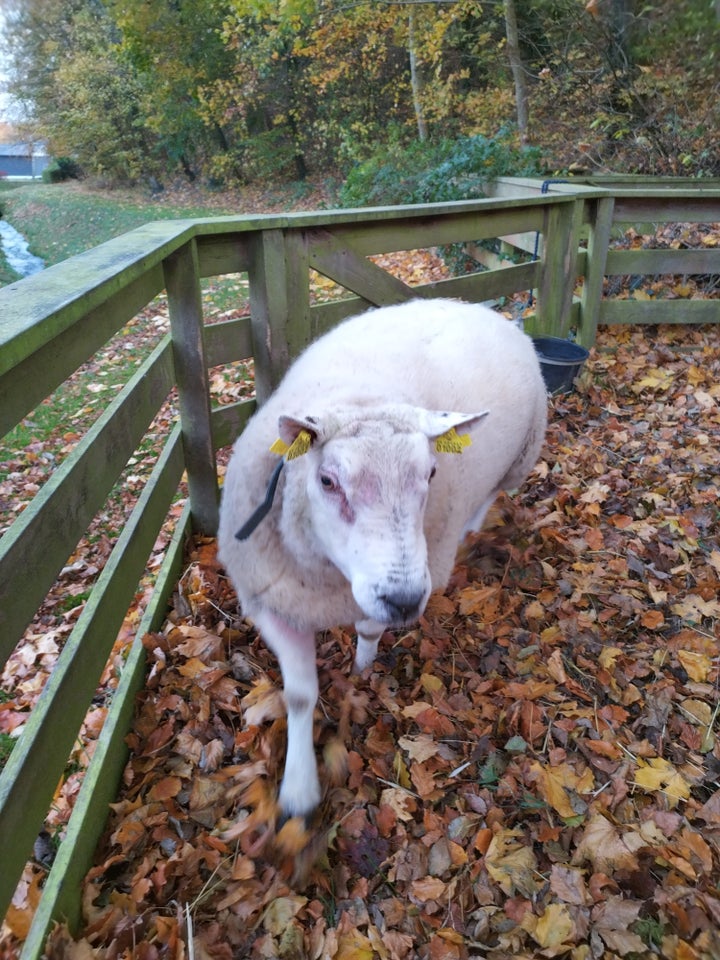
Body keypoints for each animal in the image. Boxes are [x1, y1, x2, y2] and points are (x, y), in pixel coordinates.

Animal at [217, 296, 548, 812]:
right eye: (327, 481)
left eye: (432, 472)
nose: (405, 601)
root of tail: (475, 304)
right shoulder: (273, 601)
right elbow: (299, 696)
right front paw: (298, 790)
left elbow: (369, 630)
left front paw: (362, 670)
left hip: (518, 460)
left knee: (493, 493)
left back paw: (473, 525)